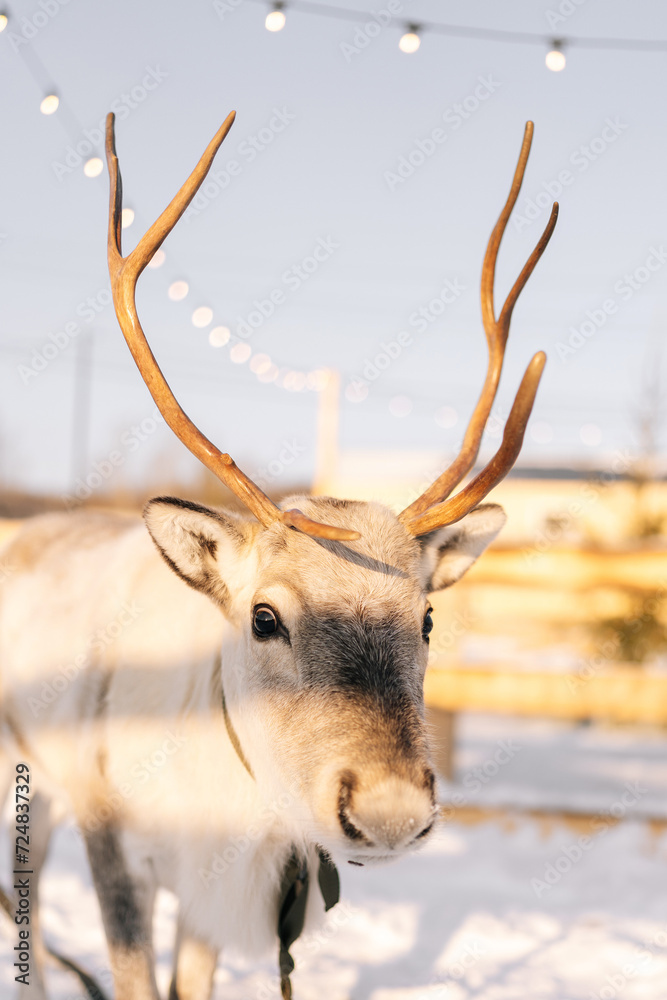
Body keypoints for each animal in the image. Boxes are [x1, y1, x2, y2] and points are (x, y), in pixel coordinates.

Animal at [0, 112, 557, 1000]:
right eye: (264, 617)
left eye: (427, 619)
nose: (391, 810)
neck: (228, 801)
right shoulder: (112, 837)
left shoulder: (221, 892)